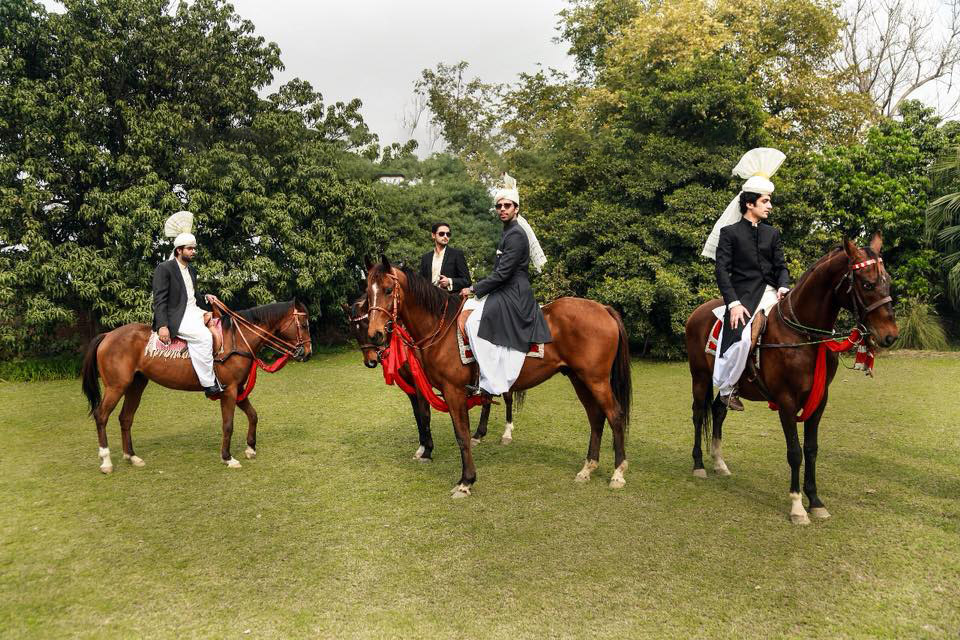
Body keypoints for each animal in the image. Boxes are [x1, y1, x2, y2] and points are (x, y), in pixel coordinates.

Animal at [81, 298, 312, 470]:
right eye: (303, 324)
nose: (308, 353)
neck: (237, 338)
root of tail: (107, 335)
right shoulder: (229, 391)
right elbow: (228, 424)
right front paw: (227, 457)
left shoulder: (237, 389)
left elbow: (253, 415)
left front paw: (250, 448)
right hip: (116, 387)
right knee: (101, 416)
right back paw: (106, 461)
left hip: (136, 385)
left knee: (125, 418)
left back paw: (132, 456)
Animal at [344, 296, 524, 460]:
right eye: (353, 329)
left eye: (367, 324)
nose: (370, 361)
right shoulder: (412, 389)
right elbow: (418, 415)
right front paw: (422, 447)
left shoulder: (421, 386)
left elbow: (425, 415)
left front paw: (427, 449)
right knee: (487, 400)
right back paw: (478, 434)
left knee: (507, 397)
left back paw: (507, 432)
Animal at [366, 258, 632, 498]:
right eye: (368, 294)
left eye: (388, 290)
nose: (375, 334)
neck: (441, 327)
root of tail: (603, 308)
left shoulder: (453, 392)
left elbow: (461, 435)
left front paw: (466, 481)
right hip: (579, 379)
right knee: (596, 418)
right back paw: (588, 468)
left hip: (596, 380)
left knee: (615, 416)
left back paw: (618, 473)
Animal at [684, 235, 900, 524]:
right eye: (866, 284)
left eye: (887, 280)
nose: (890, 335)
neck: (803, 335)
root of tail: (697, 312)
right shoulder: (786, 402)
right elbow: (795, 452)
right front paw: (797, 506)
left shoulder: (819, 401)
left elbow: (811, 449)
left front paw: (816, 501)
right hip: (700, 376)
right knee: (699, 415)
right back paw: (698, 464)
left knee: (719, 410)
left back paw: (719, 462)